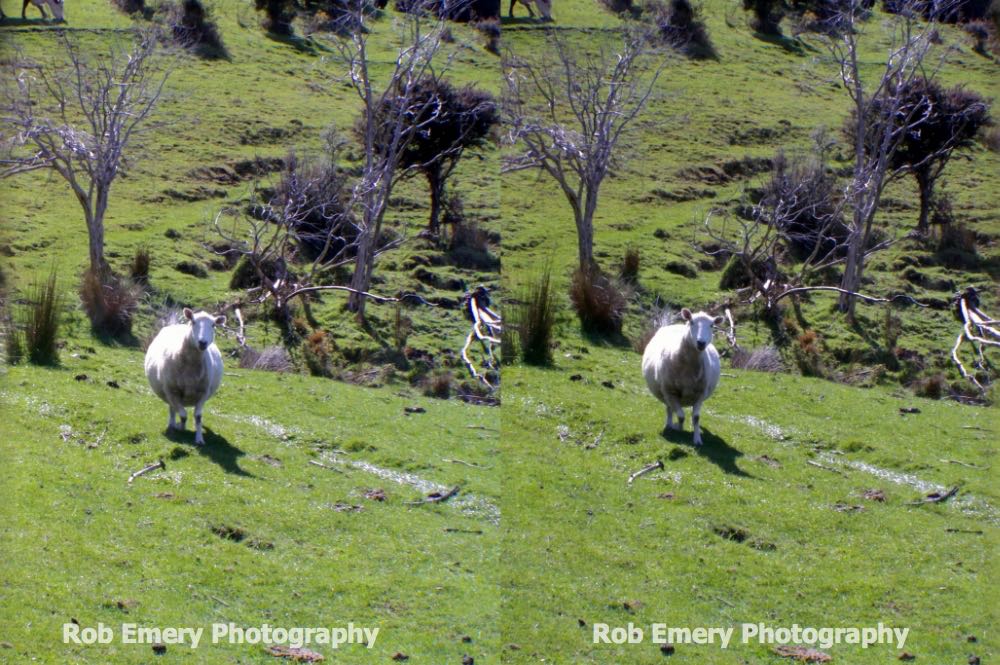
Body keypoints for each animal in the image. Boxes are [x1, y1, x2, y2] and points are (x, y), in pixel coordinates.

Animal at [144, 308, 226, 444]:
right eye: (193, 322)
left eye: (213, 325)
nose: (202, 342)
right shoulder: (172, 391)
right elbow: (183, 415)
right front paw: (180, 427)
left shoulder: (203, 393)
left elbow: (198, 417)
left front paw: (199, 439)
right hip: (168, 392)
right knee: (172, 409)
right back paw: (172, 425)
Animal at [644, 310, 724, 446]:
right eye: (691, 322)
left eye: (712, 325)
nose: (701, 343)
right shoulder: (670, 392)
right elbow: (681, 416)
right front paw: (678, 428)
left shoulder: (700, 394)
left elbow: (696, 418)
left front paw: (697, 439)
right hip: (666, 392)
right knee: (669, 409)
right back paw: (669, 425)